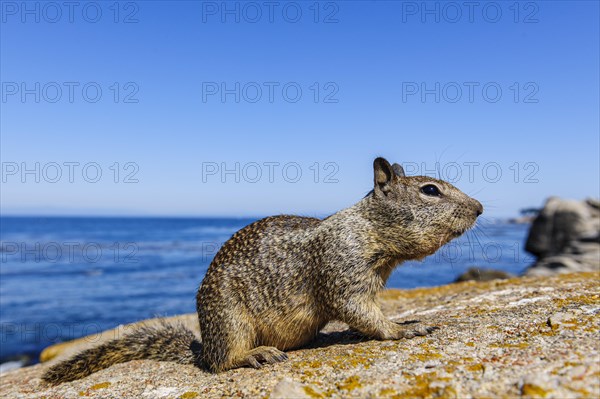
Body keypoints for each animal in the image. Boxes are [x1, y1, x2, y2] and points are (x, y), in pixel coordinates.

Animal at [42, 158, 482, 386]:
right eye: (430, 190)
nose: (479, 207)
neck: (368, 228)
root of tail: (204, 346)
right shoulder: (342, 268)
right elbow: (357, 309)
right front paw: (403, 328)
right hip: (229, 319)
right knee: (222, 362)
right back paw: (256, 354)